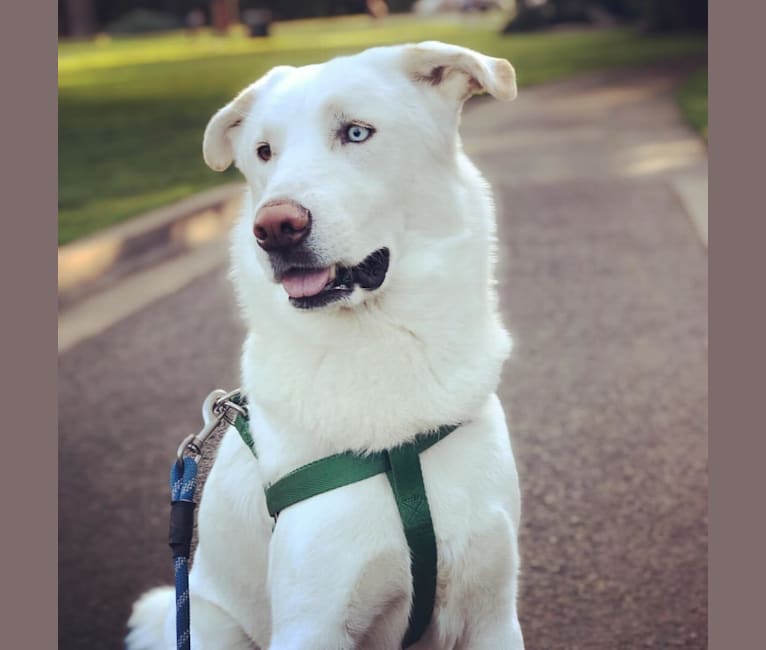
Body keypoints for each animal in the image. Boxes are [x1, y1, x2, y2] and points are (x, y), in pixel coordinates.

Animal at [130, 41, 528, 648]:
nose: (273, 228)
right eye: (263, 152)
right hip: (207, 623)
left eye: (357, 133)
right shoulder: (312, 622)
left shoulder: (492, 616)